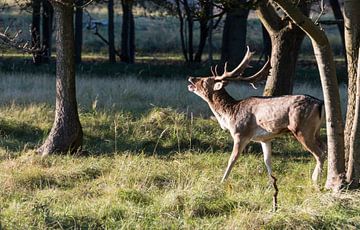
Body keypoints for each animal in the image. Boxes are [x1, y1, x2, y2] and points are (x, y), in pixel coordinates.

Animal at [188, 46, 326, 183]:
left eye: (205, 80)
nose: (191, 77)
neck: (230, 114)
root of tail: (320, 103)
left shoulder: (240, 133)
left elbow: (232, 159)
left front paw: (222, 181)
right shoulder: (265, 138)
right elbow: (267, 161)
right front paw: (272, 182)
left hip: (302, 129)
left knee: (320, 153)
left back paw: (315, 179)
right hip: (316, 130)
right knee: (325, 147)